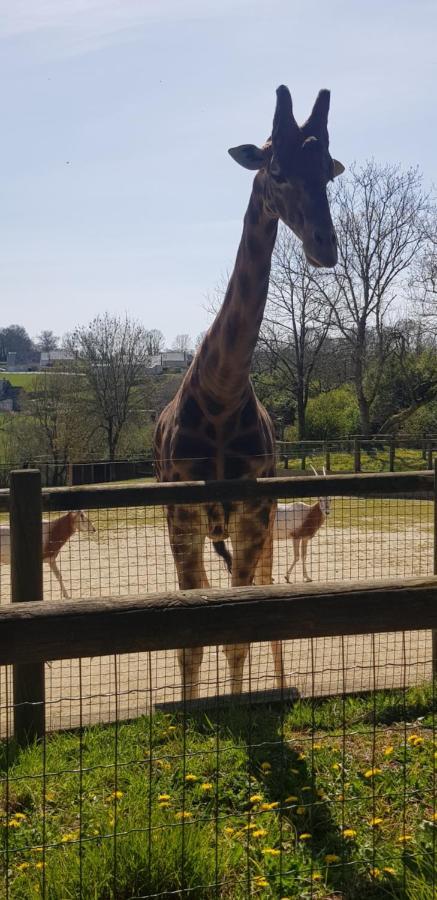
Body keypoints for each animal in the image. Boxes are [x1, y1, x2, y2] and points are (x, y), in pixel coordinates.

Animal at [154, 84, 344, 700]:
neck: (221, 392)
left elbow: (240, 632)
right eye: (276, 169)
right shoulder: (182, 517)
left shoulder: (254, 515)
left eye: (326, 172)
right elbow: (190, 642)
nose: (325, 247)